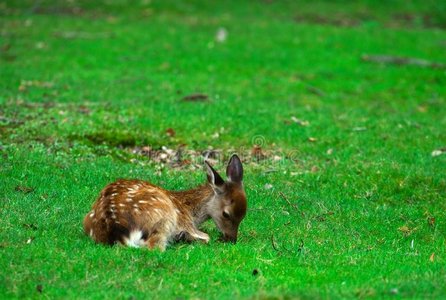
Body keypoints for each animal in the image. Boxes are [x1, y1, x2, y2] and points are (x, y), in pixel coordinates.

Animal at [82, 155, 246, 251]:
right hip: (164, 217)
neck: (190, 210)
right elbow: (206, 236)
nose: (232, 239)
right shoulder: (186, 222)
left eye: (243, 215)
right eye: (226, 214)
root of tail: (116, 231)